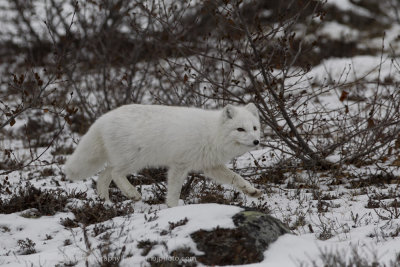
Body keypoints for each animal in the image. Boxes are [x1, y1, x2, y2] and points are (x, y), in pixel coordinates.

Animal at [64, 103, 260, 207]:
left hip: (123, 160)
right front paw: (173, 207)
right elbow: (174, 190)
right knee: (114, 173)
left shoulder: (211, 166)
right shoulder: (179, 165)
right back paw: (132, 194)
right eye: (240, 129)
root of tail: (103, 118)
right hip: (134, 160)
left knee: (103, 176)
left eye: (254, 128)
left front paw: (251, 191)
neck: (213, 133)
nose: (257, 141)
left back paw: (105, 202)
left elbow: (236, 178)